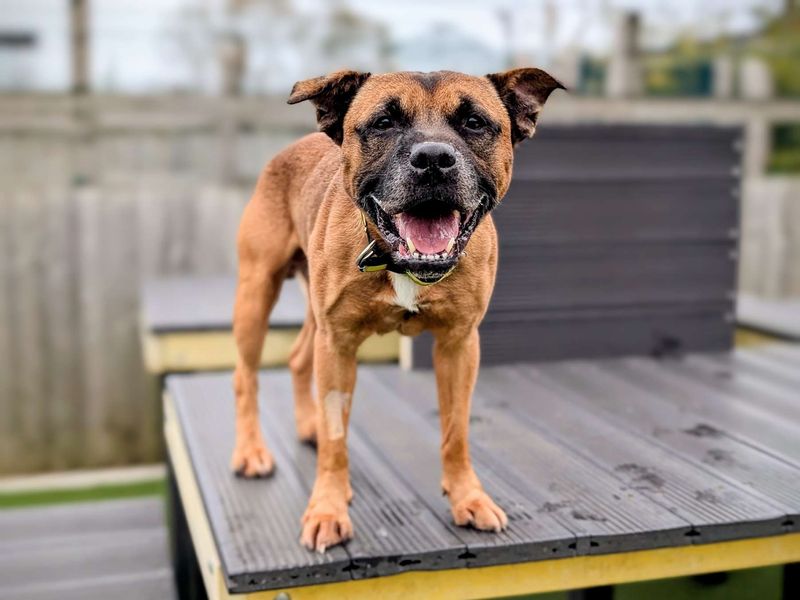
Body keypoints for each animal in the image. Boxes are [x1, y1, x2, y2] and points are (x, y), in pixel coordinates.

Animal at [231, 68, 564, 552]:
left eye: (474, 123)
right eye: (384, 123)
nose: (433, 159)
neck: (400, 260)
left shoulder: (459, 345)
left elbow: (456, 432)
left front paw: (468, 497)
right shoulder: (339, 345)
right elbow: (337, 441)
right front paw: (328, 509)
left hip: (314, 317)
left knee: (297, 358)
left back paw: (307, 425)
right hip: (256, 295)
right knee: (246, 377)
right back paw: (250, 451)